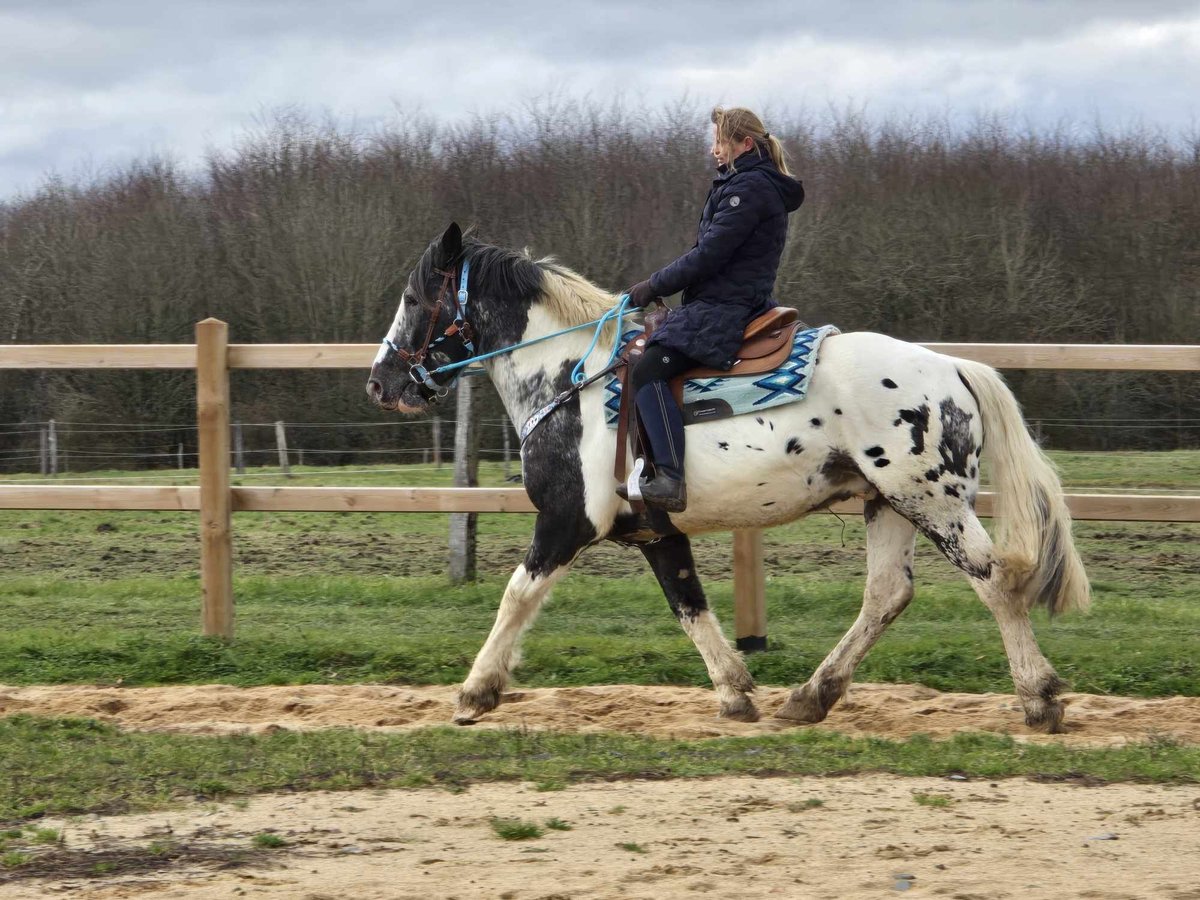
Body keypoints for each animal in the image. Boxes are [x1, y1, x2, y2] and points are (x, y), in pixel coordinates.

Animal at [362, 225, 1089, 734]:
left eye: (414, 297)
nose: (380, 382)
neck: (571, 379)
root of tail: (954, 366)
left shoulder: (567, 522)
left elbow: (517, 595)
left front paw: (474, 693)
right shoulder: (656, 532)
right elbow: (690, 606)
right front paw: (737, 693)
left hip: (934, 503)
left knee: (996, 581)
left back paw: (1039, 698)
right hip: (888, 505)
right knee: (886, 595)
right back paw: (810, 698)